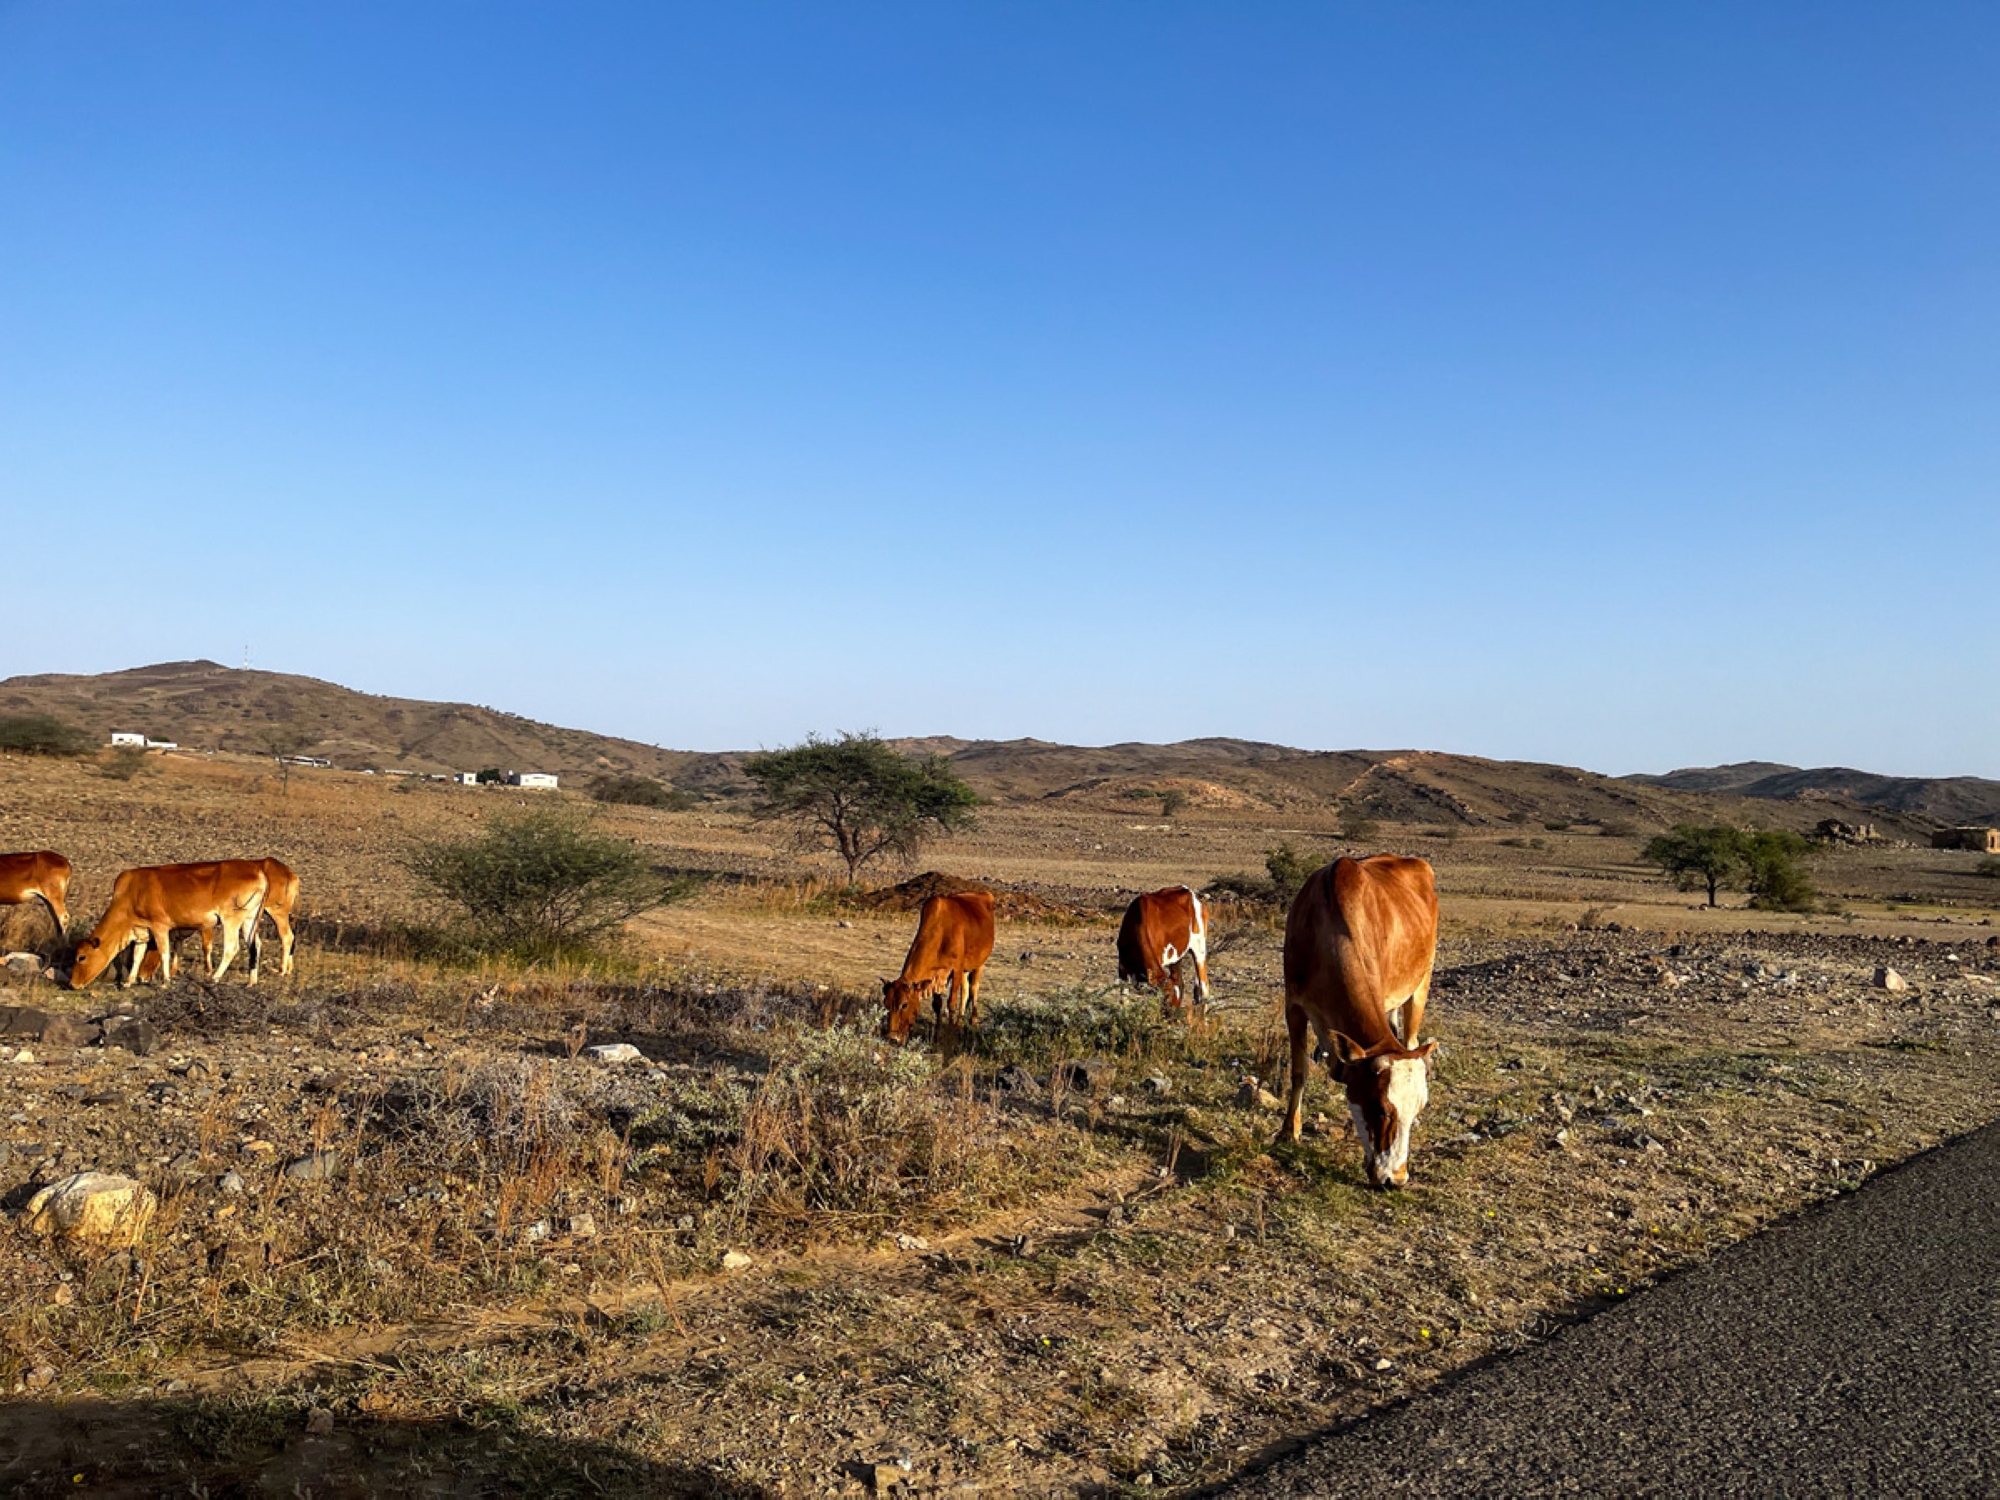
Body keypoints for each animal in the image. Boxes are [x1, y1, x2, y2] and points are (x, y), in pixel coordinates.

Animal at [70, 864, 270, 992]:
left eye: (81, 957)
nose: (72, 984)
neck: (130, 894)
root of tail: (258, 871)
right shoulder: (142, 931)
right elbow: (137, 956)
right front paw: (128, 982)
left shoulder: (160, 926)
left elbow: (164, 953)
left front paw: (165, 982)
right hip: (250, 920)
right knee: (255, 946)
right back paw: (251, 981)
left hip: (231, 919)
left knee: (231, 948)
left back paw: (214, 979)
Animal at [139, 856, 300, 988]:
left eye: (148, 950)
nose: (141, 977)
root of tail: (289, 873)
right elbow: (178, 946)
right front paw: (173, 972)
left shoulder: (205, 926)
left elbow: (206, 946)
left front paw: (208, 971)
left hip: (276, 914)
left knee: (287, 937)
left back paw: (281, 971)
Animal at [880, 892, 996, 1048]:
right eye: (886, 1004)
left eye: (904, 1005)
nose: (892, 1038)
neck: (941, 932)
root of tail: (985, 894)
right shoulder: (935, 976)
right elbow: (937, 1005)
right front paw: (937, 1035)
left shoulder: (956, 969)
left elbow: (951, 1003)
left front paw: (950, 1037)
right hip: (966, 969)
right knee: (965, 991)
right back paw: (959, 1025)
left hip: (979, 963)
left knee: (973, 988)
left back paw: (973, 1023)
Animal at [1120, 888, 1208, 1016]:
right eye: (1165, 998)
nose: (1173, 1017)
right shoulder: (1122, 966)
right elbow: (1123, 1000)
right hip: (1176, 958)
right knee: (1180, 981)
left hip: (1199, 948)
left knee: (1204, 985)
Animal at [1280, 864, 1440, 1192]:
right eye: (1380, 1108)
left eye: (1419, 1108)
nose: (1396, 1179)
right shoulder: (1294, 1005)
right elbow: (1299, 1072)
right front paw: (1289, 1131)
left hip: (1420, 985)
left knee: (1410, 1038)